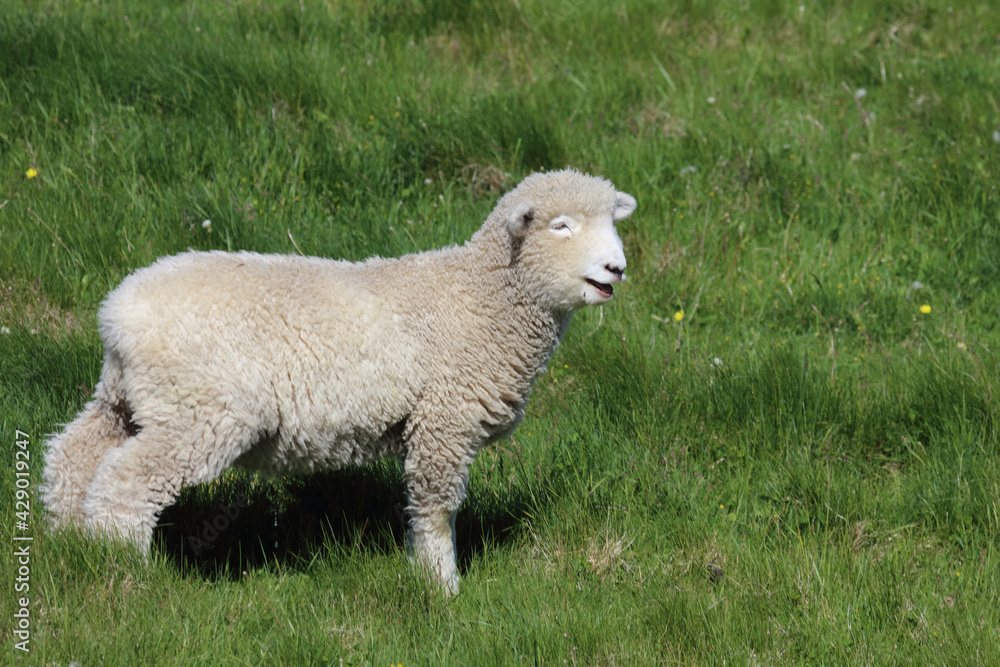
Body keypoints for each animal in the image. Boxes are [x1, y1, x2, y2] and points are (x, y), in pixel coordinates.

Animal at [41, 168, 636, 594]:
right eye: (560, 226)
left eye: (613, 222)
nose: (616, 269)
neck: (481, 296)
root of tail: (117, 314)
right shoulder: (444, 421)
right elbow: (436, 510)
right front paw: (441, 586)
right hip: (199, 410)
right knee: (125, 481)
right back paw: (127, 571)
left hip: (127, 397)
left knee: (75, 455)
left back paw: (70, 544)